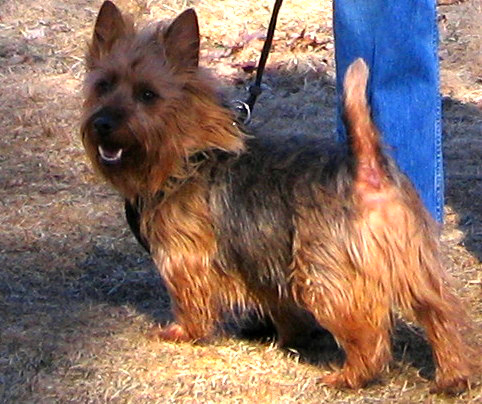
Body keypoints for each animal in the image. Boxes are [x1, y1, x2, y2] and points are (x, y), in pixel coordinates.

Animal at [80, 0, 474, 392]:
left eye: (148, 95)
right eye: (103, 85)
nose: (102, 123)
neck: (189, 155)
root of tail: (366, 167)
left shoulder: (185, 258)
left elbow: (190, 300)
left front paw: (181, 333)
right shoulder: (262, 267)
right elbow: (281, 306)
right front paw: (290, 335)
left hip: (325, 275)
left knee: (368, 334)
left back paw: (349, 376)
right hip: (414, 267)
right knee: (441, 315)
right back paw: (453, 375)